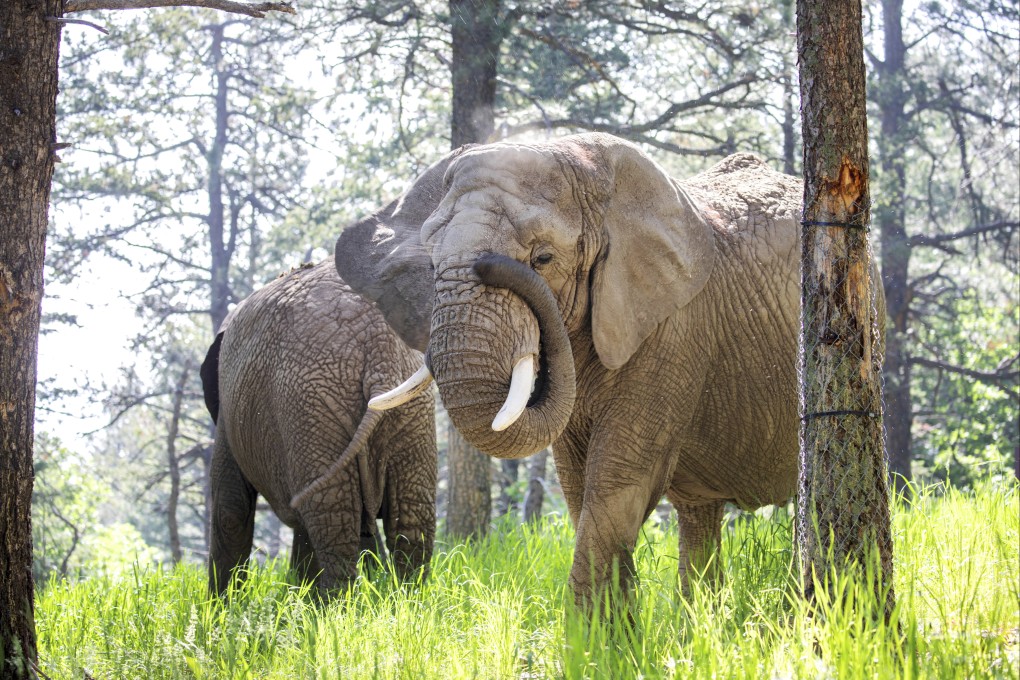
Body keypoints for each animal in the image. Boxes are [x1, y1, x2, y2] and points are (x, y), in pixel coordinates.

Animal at [200, 260, 437, 596]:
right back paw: (405, 601)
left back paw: (333, 607)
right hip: (408, 411)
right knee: (410, 522)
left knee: (332, 519)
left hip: (310, 406)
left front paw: (220, 607)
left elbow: (230, 509)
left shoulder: (228, 414)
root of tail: (377, 347)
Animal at [334, 133, 883, 606]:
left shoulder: (674, 328)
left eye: (543, 257)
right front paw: (612, 638)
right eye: (431, 267)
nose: (490, 263)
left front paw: (592, 645)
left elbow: (619, 477)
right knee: (698, 515)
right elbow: (578, 485)